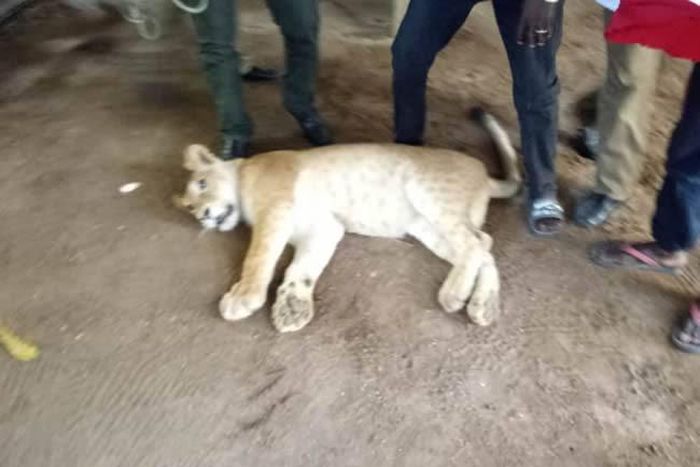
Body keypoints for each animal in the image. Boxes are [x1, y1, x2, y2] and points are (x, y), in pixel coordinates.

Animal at [175, 109, 521, 332]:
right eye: (190, 208)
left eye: (202, 184)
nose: (203, 215)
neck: (244, 173)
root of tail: (483, 172)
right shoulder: (325, 227)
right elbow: (302, 268)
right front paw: (293, 309)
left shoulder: (275, 210)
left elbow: (257, 257)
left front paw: (243, 297)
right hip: (425, 227)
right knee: (483, 245)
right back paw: (483, 306)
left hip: (427, 192)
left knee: (475, 244)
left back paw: (454, 295)